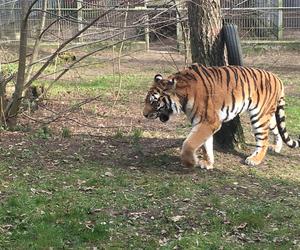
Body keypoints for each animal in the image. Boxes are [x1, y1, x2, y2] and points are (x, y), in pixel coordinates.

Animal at [144, 63, 300, 170]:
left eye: (154, 102)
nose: (144, 114)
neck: (183, 96)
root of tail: (277, 78)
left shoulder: (209, 121)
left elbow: (189, 144)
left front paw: (191, 162)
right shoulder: (201, 122)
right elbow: (205, 145)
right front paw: (207, 163)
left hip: (259, 116)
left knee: (263, 140)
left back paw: (254, 159)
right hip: (268, 114)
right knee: (276, 130)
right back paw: (277, 148)